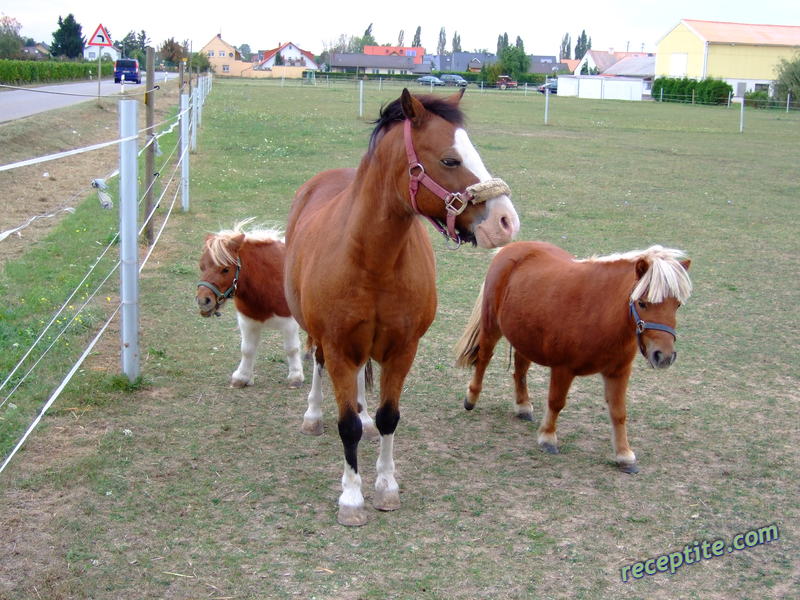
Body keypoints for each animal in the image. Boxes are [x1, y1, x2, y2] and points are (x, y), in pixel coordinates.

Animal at [196, 219, 304, 390]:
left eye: (225, 269)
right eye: (202, 266)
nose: (203, 301)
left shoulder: (289, 322)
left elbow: (291, 348)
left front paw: (295, 376)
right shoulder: (247, 321)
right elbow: (247, 349)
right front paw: (242, 377)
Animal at [284, 89, 520, 524]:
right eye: (450, 159)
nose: (505, 221)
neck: (373, 258)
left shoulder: (402, 349)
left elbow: (387, 418)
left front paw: (386, 486)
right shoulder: (340, 346)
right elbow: (346, 426)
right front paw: (351, 497)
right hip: (322, 337)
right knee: (319, 365)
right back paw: (313, 415)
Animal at [454, 240, 692, 474]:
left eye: (677, 305)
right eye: (642, 303)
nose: (664, 356)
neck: (601, 312)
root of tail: (509, 248)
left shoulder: (619, 372)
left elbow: (618, 412)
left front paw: (624, 455)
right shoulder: (563, 369)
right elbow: (556, 402)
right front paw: (547, 437)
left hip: (524, 334)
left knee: (520, 370)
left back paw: (522, 406)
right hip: (491, 327)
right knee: (484, 359)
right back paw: (472, 398)